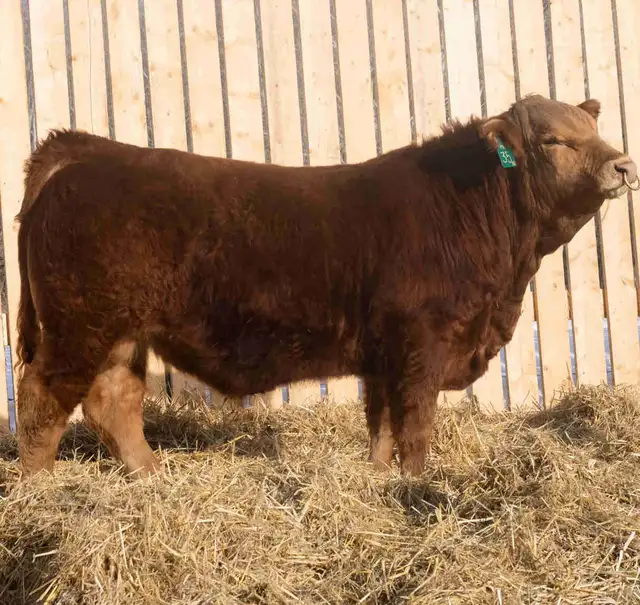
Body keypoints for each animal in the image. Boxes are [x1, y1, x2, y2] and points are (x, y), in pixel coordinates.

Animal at [13, 94, 637, 480]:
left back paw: (150, 476)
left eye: (595, 130)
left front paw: (382, 481)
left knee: (113, 400)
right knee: (41, 399)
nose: (623, 165)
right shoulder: (422, 344)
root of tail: (90, 152)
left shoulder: (384, 355)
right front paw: (416, 485)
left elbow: (381, 426)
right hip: (79, 326)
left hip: (121, 333)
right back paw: (42, 491)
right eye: (554, 140)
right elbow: (415, 425)